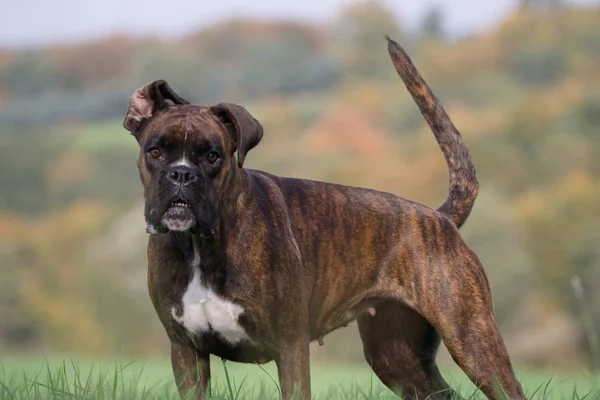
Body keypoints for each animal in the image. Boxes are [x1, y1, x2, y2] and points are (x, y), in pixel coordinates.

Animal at [120, 36, 524, 398]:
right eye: (155, 153)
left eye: (212, 156)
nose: (181, 174)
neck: (200, 245)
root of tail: (440, 218)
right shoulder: (186, 352)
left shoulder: (289, 347)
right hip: (397, 358)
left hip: (473, 341)